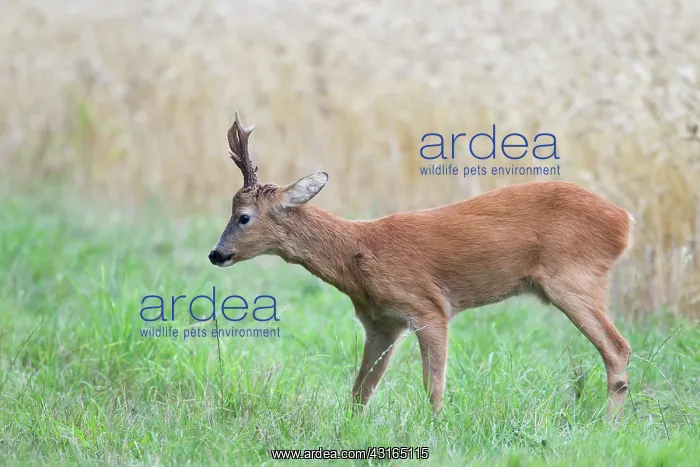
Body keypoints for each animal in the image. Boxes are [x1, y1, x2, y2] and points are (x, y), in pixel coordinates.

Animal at [209, 112, 634, 419]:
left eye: (244, 217)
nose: (216, 254)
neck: (357, 254)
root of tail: (625, 221)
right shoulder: (381, 322)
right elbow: (361, 390)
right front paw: (348, 429)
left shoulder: (427, 307)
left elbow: (434, 385)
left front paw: (437, 427)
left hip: (573, 277)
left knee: (618, 347)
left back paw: (608, 425)